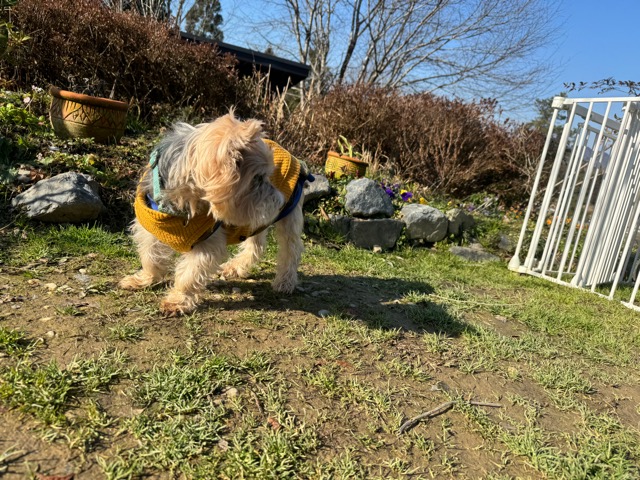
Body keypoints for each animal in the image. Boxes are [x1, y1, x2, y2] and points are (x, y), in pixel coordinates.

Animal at [119, 111, 313, 315]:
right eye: (258, 178)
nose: (280, 202)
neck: (184, 205)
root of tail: (294, 158)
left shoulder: (208, 242)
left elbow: (189, 274)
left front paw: (177, 301)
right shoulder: (149, 229)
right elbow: (150, 257)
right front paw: (143, 280)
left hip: (286, 218)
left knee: (292, 248)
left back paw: (285, 281)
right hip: (255, 219)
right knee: (256, 245)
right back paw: (236, 267)